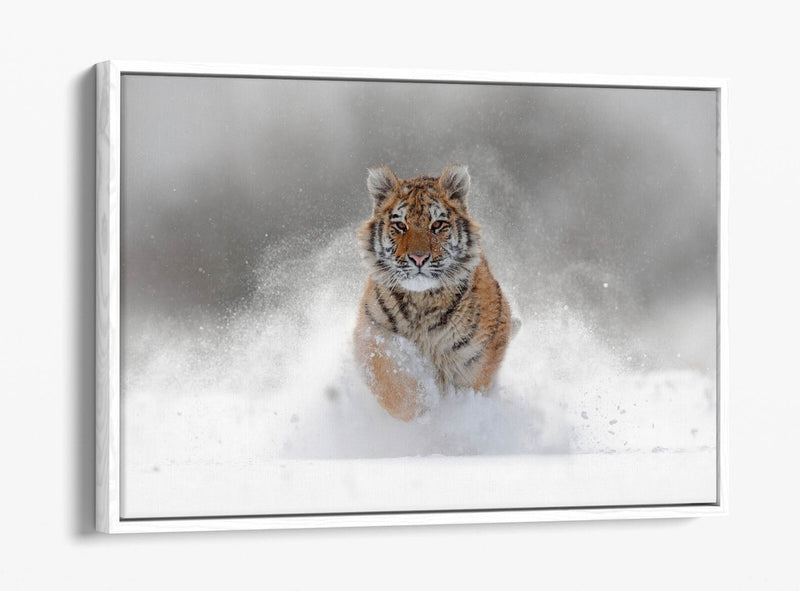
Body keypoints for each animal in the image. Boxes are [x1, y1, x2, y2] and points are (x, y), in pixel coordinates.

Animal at [353, 164, 516, 421]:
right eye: (401, 226)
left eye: (437, 225)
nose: (418, 258)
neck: (422, 302)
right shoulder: (372, 334)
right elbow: (395, 388)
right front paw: (424, 411)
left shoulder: (478, 355)